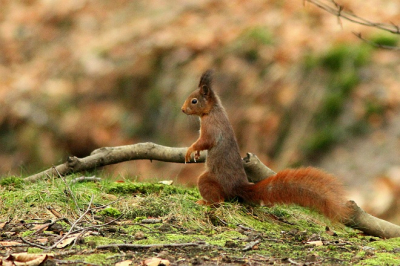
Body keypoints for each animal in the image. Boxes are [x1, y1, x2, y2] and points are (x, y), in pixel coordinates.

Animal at [181, 69, 350, 221]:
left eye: (194, 101)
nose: (182, 110)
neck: (211, 110)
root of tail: (237, 187)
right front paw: (196, 153)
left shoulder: (212, 126)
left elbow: (205, 141)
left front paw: (190, 150)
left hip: (208, 180)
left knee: (219, 200)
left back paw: (204, 202)